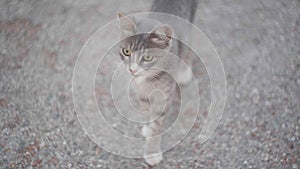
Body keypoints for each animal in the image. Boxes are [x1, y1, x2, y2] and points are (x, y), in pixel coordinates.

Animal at [116, 0, 197, 166]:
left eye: (147, 58)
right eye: (127, 52)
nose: (132, 70)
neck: (148, 80)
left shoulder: (164, 97)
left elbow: (157, 125)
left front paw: (152, 152)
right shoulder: (142, 94)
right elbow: (147, 112)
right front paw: (147, 126)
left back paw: (184, 71)